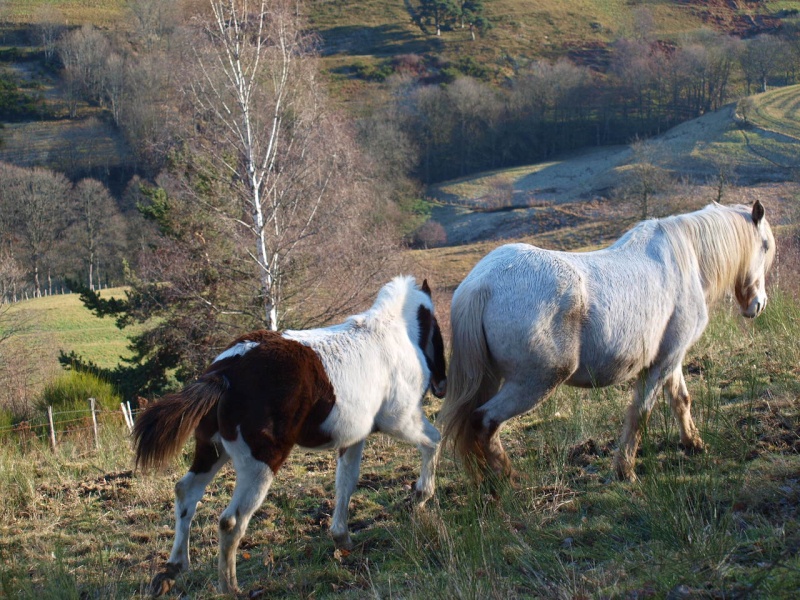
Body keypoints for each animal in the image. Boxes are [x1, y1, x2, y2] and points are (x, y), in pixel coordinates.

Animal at [130, 276, 444, 596]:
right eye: (435, 326)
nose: (441, 384)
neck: (392, 336)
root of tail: (225, 372)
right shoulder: (400, 420)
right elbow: (434, 440)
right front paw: (420, 496)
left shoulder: (353, 438)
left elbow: (347, 481)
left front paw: (342, 538)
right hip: (261, 462)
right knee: (231, 521)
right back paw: (230, 586)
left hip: (212, 450)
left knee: (186, 492)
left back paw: (173, 569)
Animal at [438, 202, 776, 482]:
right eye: (765, 246)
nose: (758, 305)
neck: (686, 259)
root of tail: (481, 284)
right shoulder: (662, 363)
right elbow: (640, 414)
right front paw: (625, 470)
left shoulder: (671, 357)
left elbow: (681, 400)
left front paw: (693, 443)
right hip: (533, 383)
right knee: (484, 422)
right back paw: (508, 480)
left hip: (495, 379)